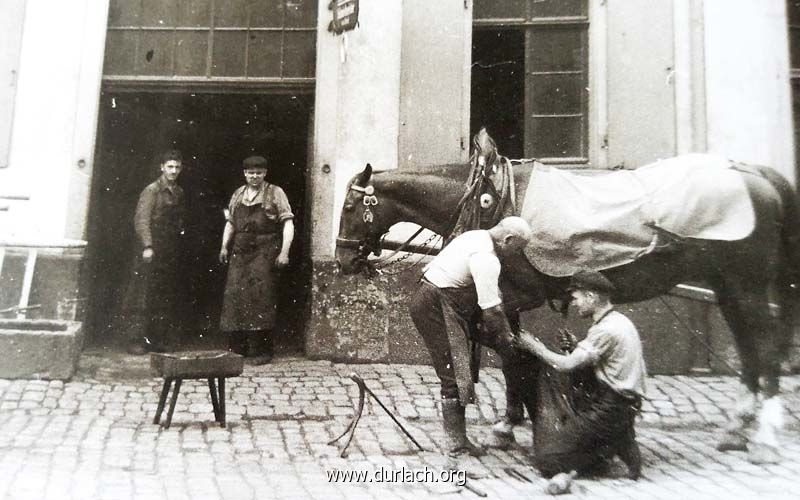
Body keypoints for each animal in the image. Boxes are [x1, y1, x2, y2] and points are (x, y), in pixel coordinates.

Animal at [332, 134, 800, 464]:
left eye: (351, 207)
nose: (342, 259)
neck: (493, 199)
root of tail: (754, 173)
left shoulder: (510, 298)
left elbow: (513, 358)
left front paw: (507, 424)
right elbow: (512, 357)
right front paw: (509, 422)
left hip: (746, 286)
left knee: (766, 350)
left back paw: (764, 436)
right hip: (729, 289)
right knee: (748, 350)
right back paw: (736, 430)